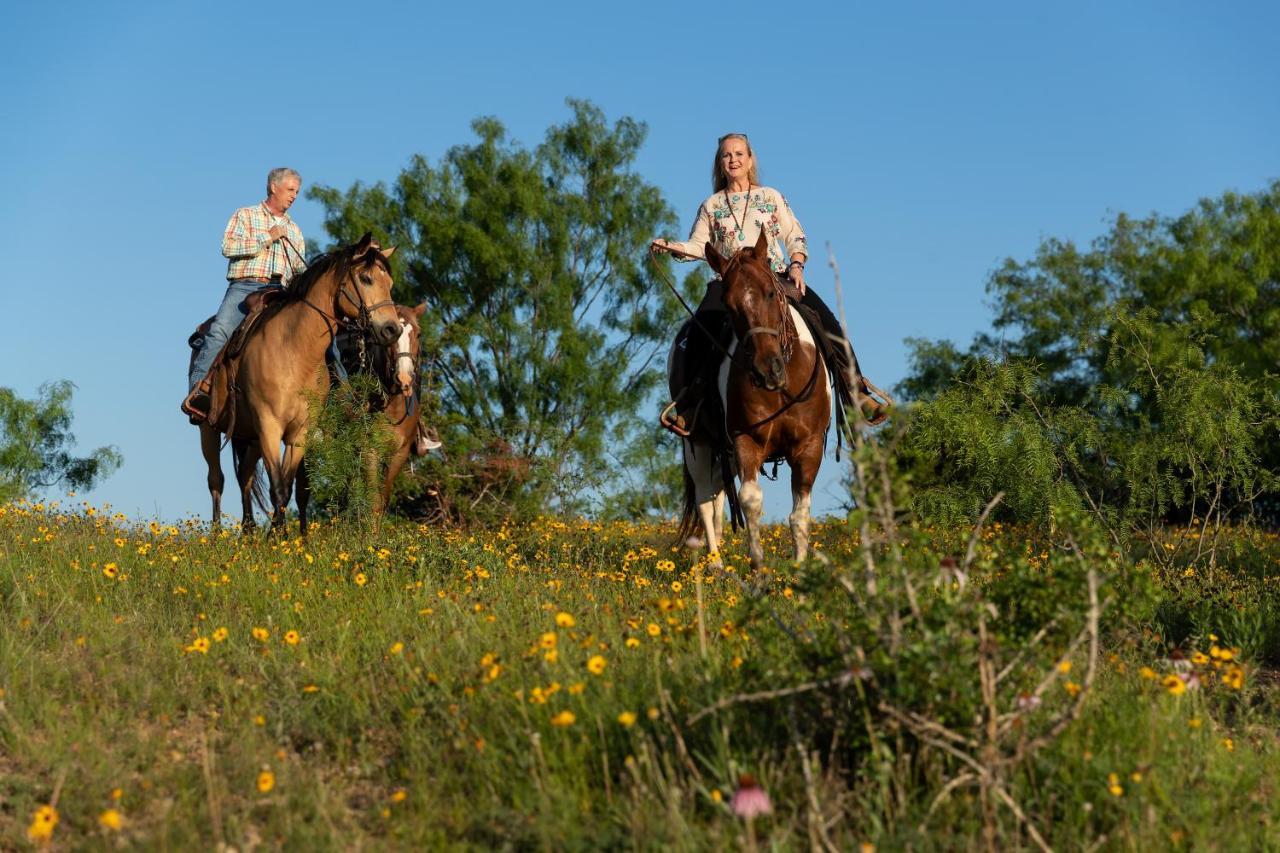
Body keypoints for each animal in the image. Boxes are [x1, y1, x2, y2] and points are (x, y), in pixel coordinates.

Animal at [190, 233, 394, 532]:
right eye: (366, 278)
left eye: (389, 283)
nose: (393, 329)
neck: (294, 350)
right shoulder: (269, 425)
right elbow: (278, 487)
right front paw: (279, 536)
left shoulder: (300, 433)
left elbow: (287, 487)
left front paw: (279, 535)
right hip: (209, 427)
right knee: (217, 480)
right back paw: (217, 534)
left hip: (248, 436)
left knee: (245, 476)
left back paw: (249, 531)